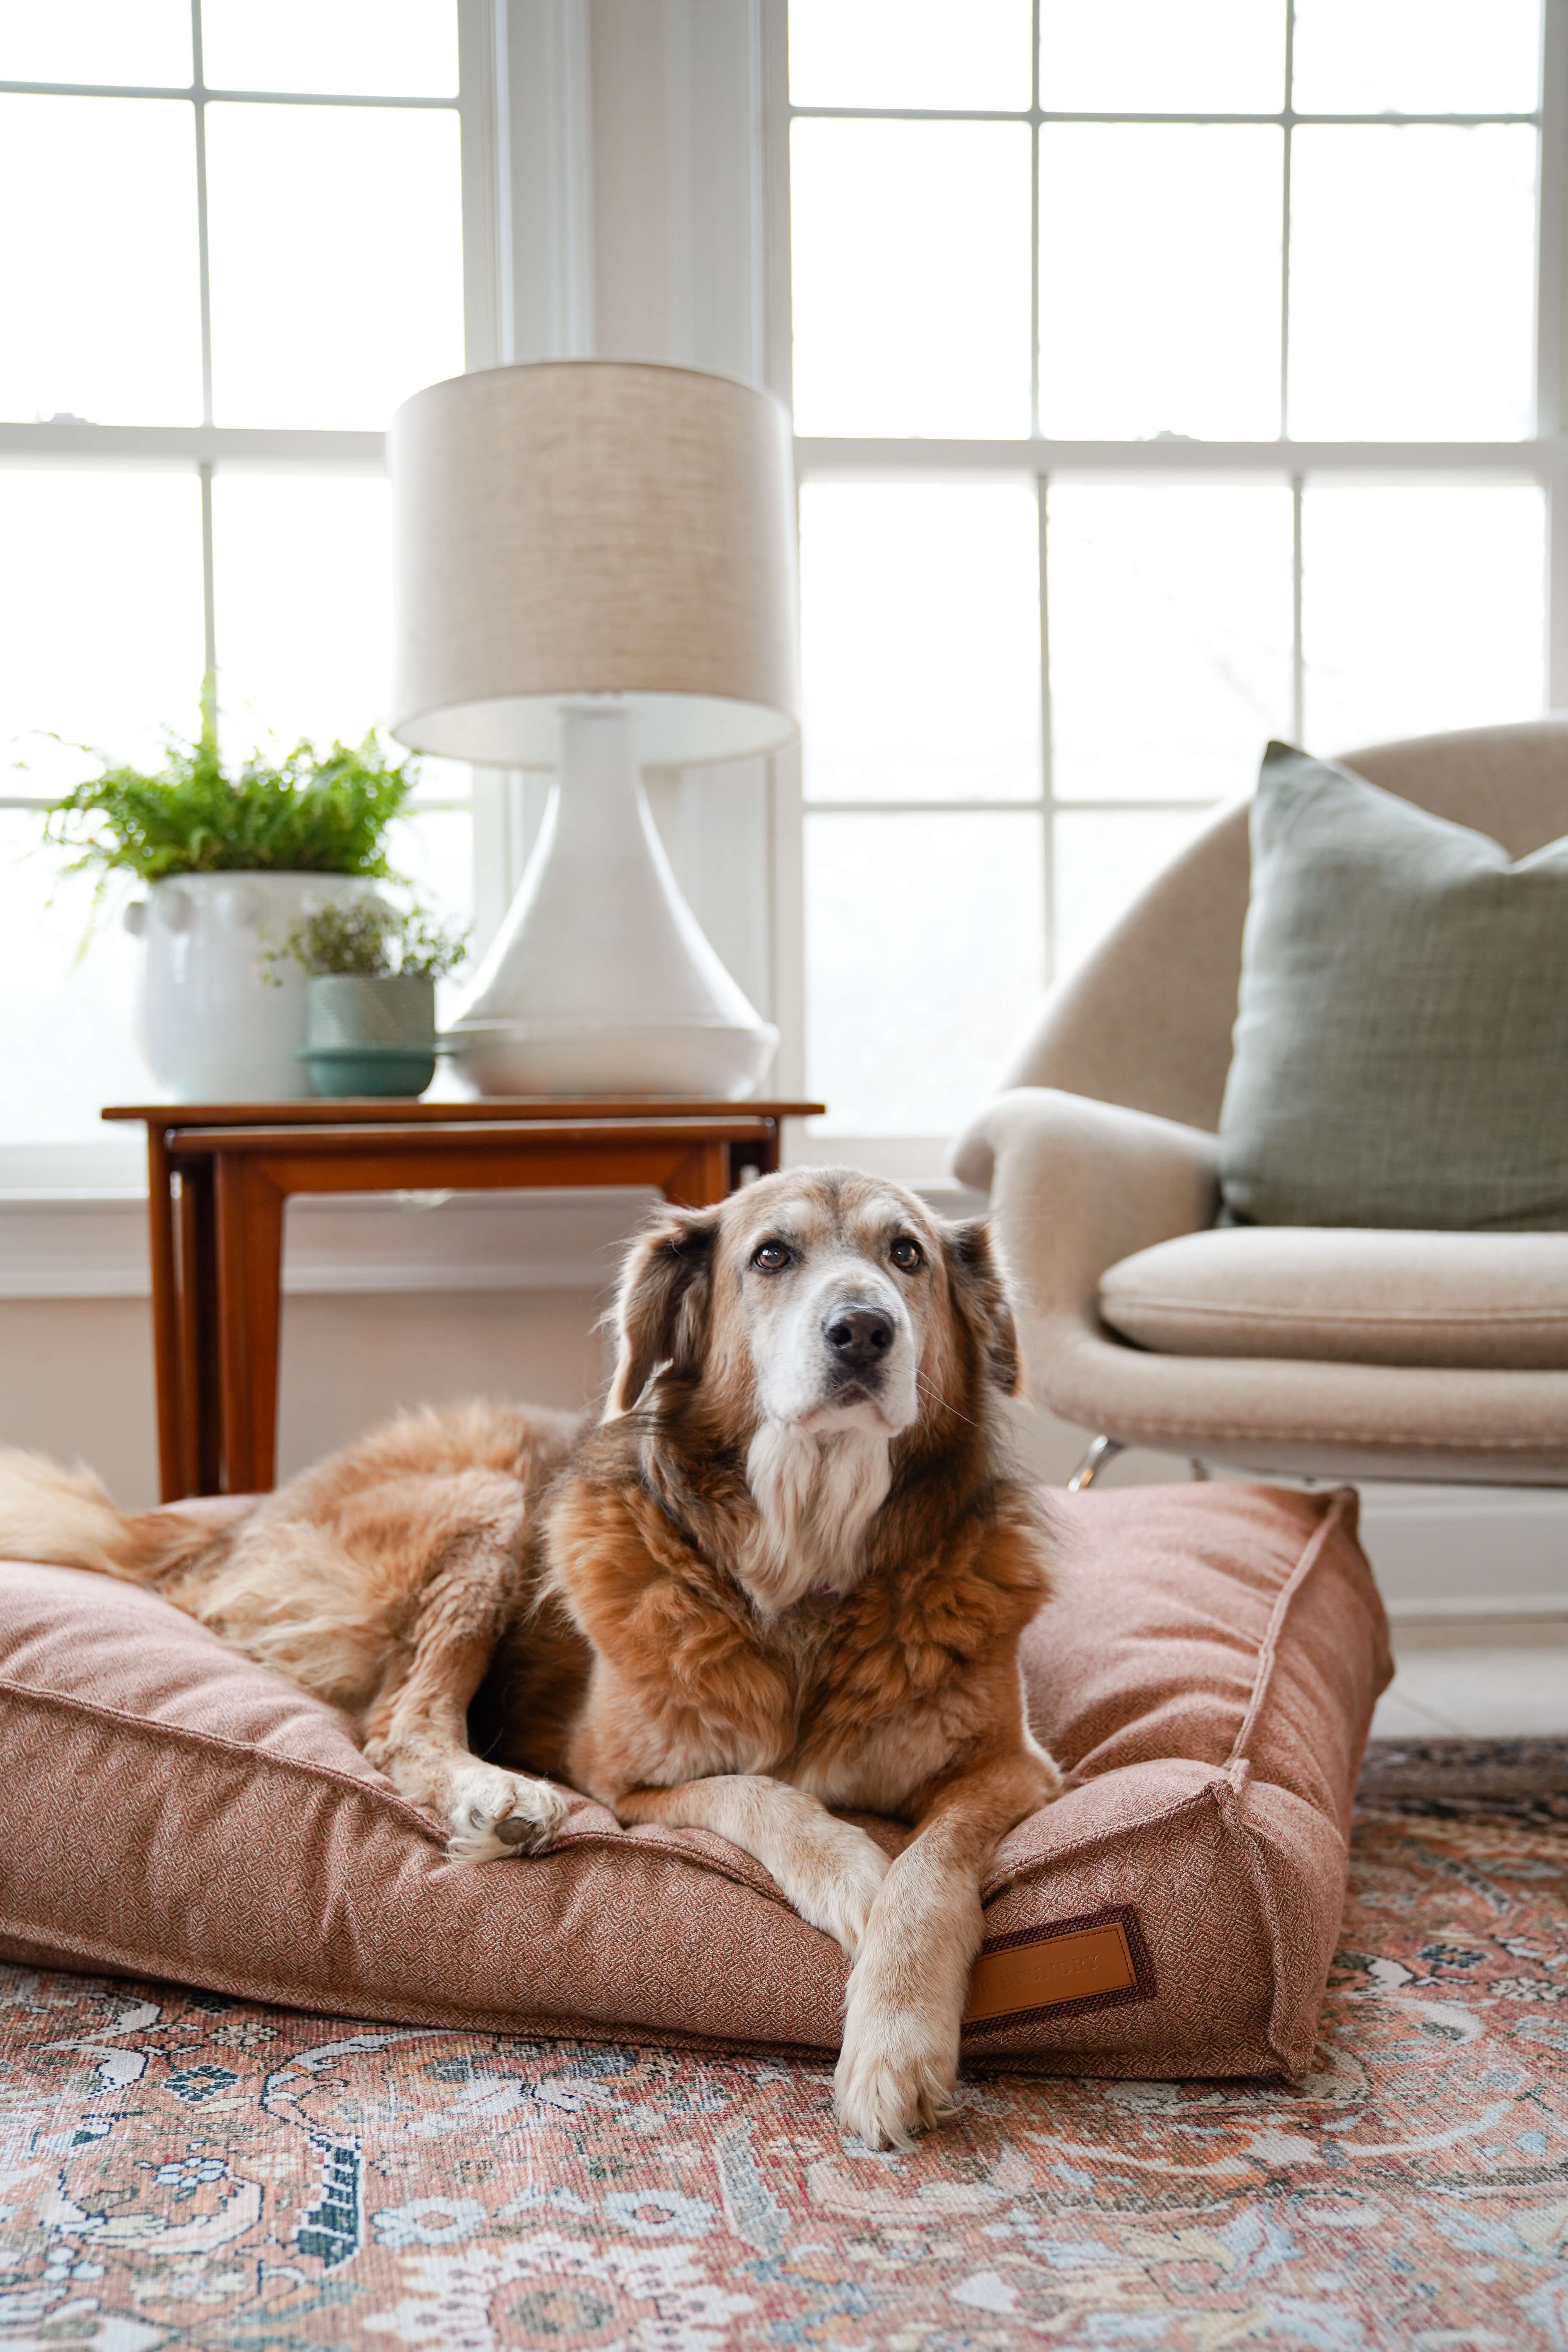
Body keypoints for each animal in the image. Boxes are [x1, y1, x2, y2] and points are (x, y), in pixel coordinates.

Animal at [0, 1166, 1062, 2145]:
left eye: (906, 1254)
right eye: (772, 1256)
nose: (865, 1330)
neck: (809, 1560)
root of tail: (239, 1521)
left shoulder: (1014, 1767)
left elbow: (929, 1869)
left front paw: (895, 2039)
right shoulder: (625, 1780)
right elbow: (770, 1795)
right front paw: (851, 1873)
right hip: (490, 1503)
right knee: (400, 1722)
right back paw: (499, 1796)